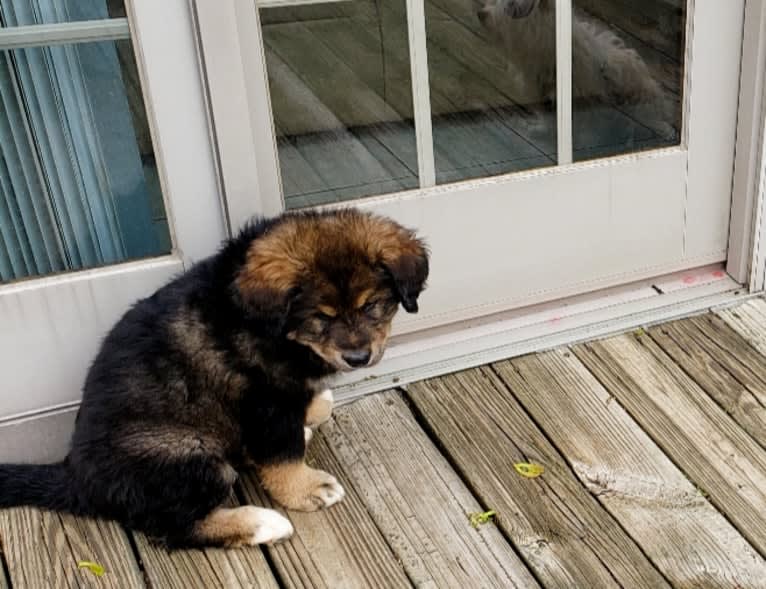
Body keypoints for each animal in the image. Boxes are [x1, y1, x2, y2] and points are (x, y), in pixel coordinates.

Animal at [0, 208, 428, 548]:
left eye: (372, 305)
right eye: (320, 317)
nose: (358, 358)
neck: (276, 328)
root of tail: (76, 476)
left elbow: (304, 412)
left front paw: (312, 411)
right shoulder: (265, 401)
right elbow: (283, 455)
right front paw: (306, 489)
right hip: (186, 455)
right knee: (174, 527)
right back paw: (261, 523)